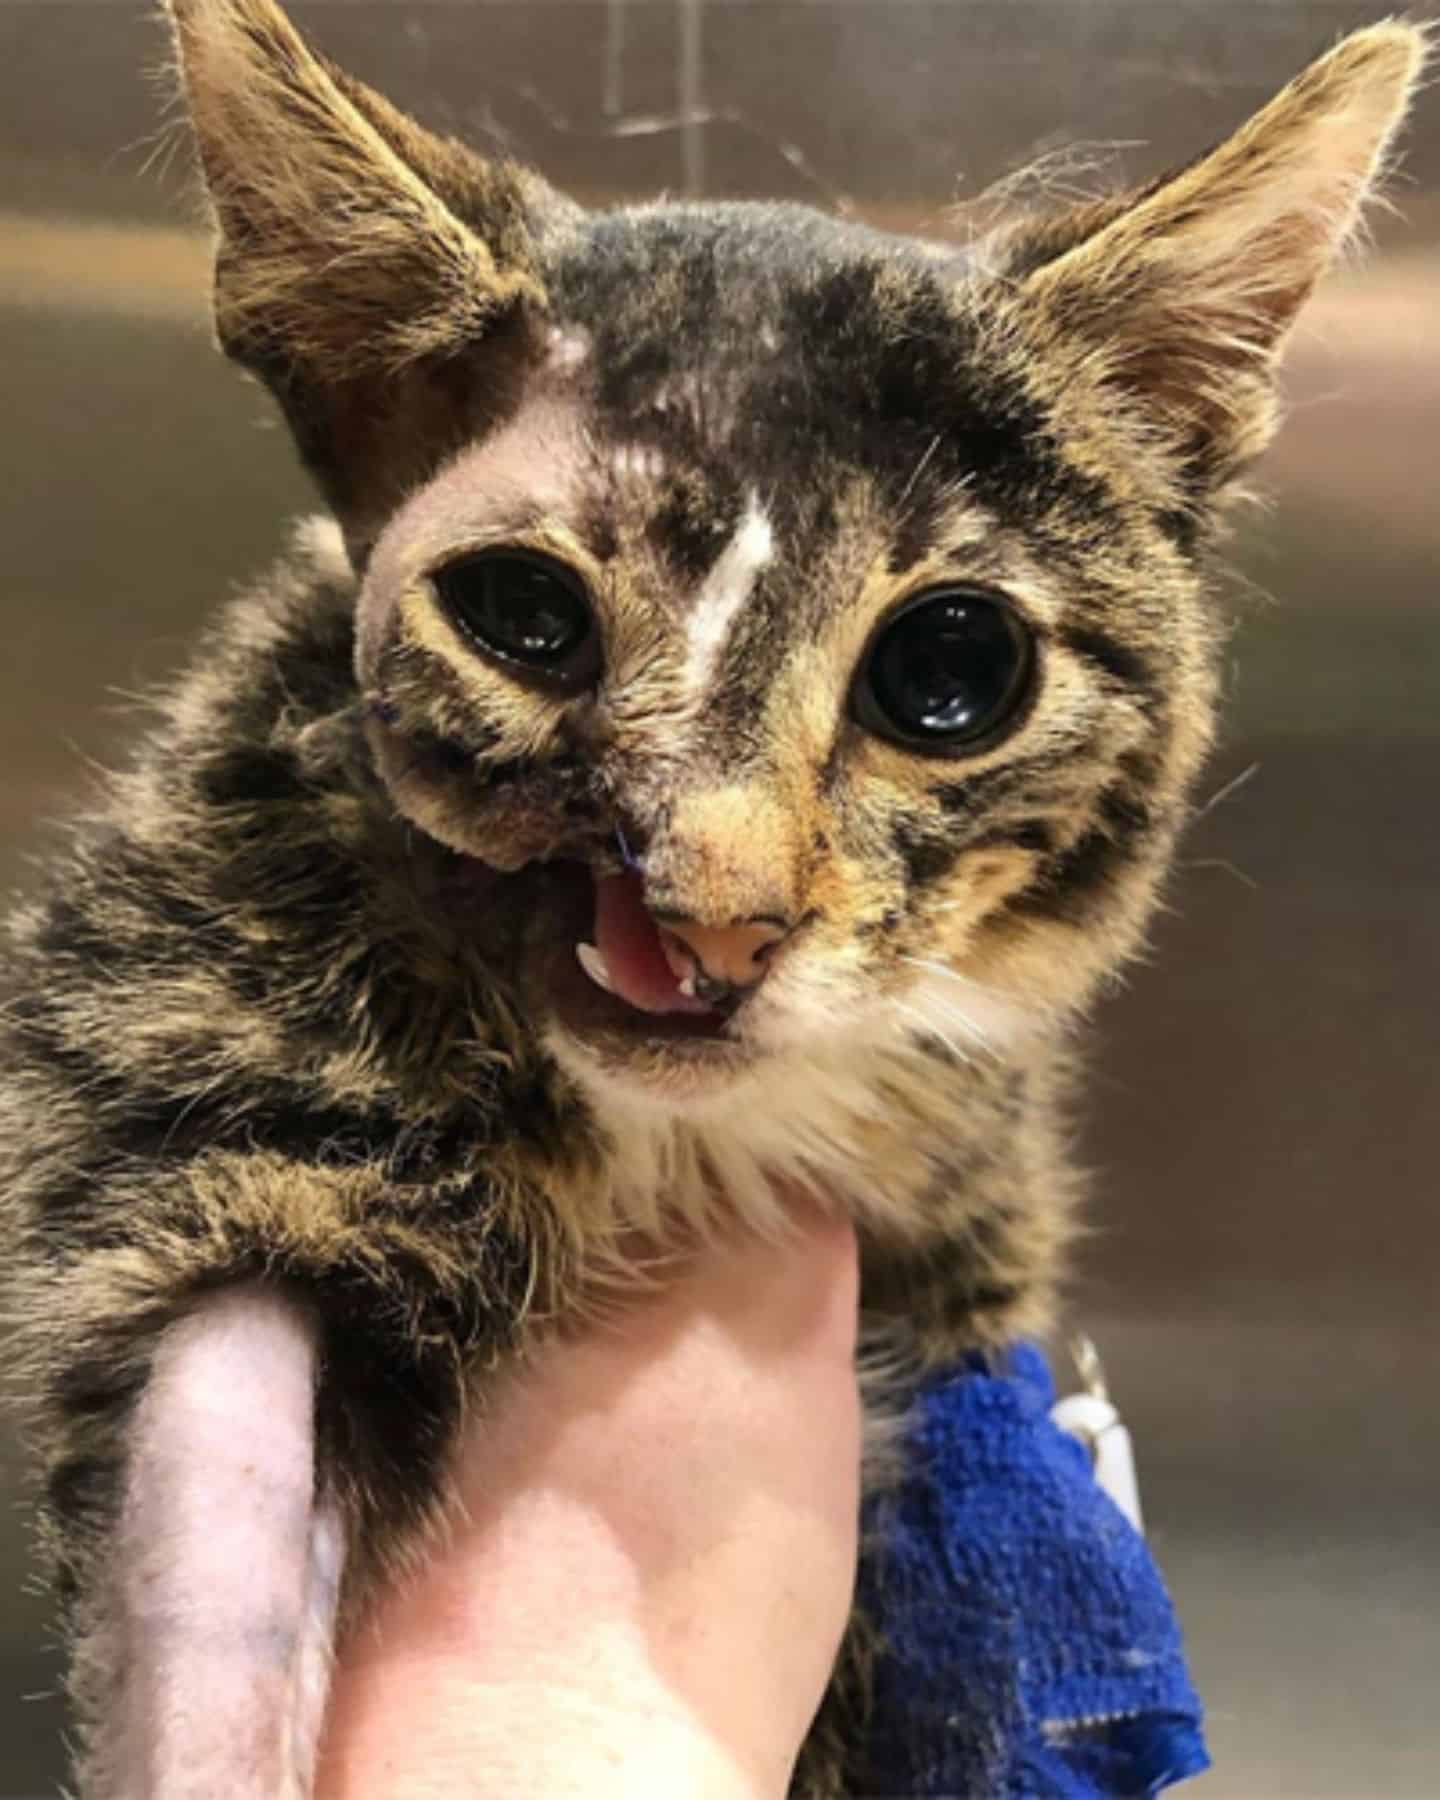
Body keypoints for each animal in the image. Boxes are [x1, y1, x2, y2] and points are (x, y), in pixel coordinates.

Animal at [0, 7, 1425, 1792]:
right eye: (524, 615)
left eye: (953, 671)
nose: (709, 924)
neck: (672, 1152)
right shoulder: (176, 1111)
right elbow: (209, 1572)